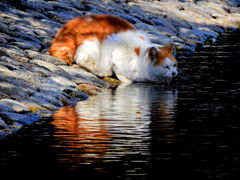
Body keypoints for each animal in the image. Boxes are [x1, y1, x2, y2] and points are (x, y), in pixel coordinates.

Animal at [49, 14, 177, 83]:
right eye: (166, 67)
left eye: (175, 65)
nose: (174, 73)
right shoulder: (116, 51)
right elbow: (120, 71)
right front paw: (125, 79)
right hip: (92, 41)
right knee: (81, 60)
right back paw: (101, 71)